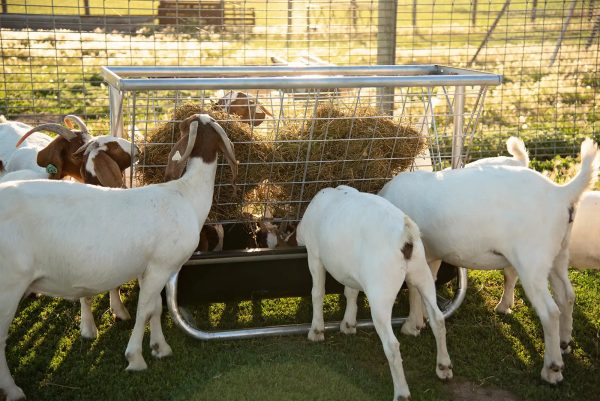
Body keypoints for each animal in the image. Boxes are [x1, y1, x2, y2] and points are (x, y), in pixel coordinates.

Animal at [0, 113, 237, 400]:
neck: (185, 194)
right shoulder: (160, 266)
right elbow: (144, 309)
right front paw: (135, 358)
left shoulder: (151, 268)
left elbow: (156, 307)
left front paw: (160, 348)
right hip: (8, 285)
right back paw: (13, 390)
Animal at [298, 185, 452, 400]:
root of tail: (406, 236)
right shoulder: (352, 271)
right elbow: (351, 292)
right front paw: (348, 324)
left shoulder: (314, 256)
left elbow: (317, 292)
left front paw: (317, 330)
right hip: (422, 273)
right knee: (438, 320)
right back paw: (443, 367)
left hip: (381, 292)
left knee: (392, 344)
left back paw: (401, 392)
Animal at [378, 138, 596, 384]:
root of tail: (560, 193)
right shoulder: (430, 255)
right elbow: (422, 288)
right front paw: (417, 321)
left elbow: (414, 288)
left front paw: (410, 325)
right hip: (559, 254)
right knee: (566, 296)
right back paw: (564, 343)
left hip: (532, 260)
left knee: (550, 312)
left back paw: (552, 369)